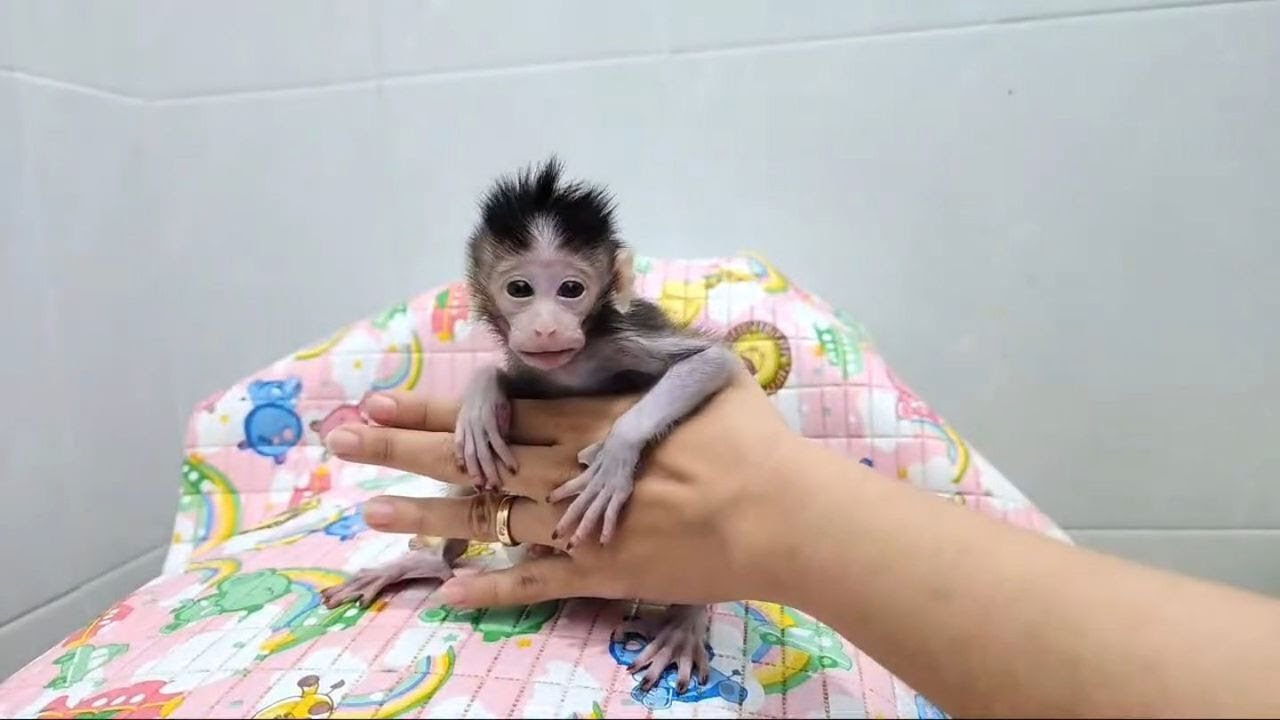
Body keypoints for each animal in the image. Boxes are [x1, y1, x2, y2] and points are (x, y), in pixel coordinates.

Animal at [321, 157, 739, 691]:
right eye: (519, 289)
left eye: (571, 290)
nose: (544, 327)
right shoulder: (533, 367)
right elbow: (501, 377)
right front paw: (480, 403)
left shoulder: (626, 336)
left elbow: (714, 361)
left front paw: (614, 457)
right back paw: (428, 560)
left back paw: (685, 622)